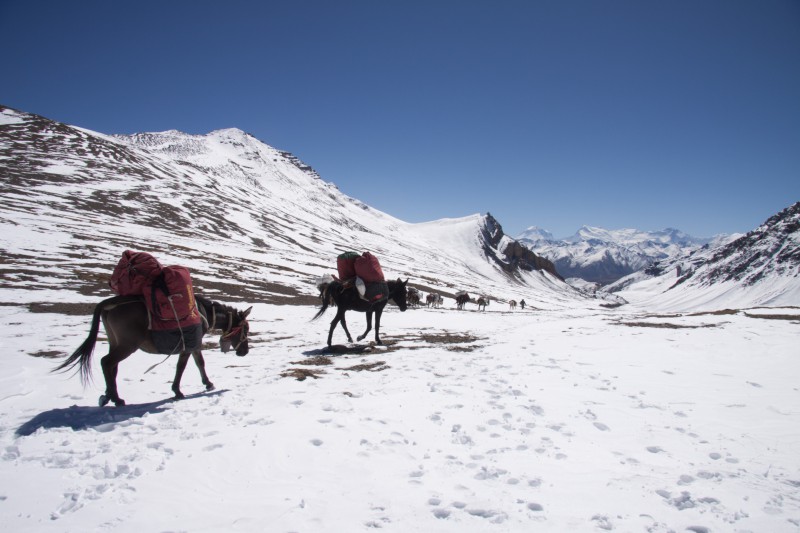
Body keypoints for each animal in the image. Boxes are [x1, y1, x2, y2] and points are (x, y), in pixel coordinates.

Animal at [54, 296, 250, 404]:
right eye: (246, 329)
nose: (245, 352)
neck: (205, 313)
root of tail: (109, 304)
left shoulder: (194, 345)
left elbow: (199, 362)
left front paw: (208, 384)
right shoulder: (189, 344)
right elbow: (183, 366)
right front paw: (177, 391)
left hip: (115, 341)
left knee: (112, 367)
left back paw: (109, 395)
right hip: (128, 344)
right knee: (106, 362)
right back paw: (116, 399)